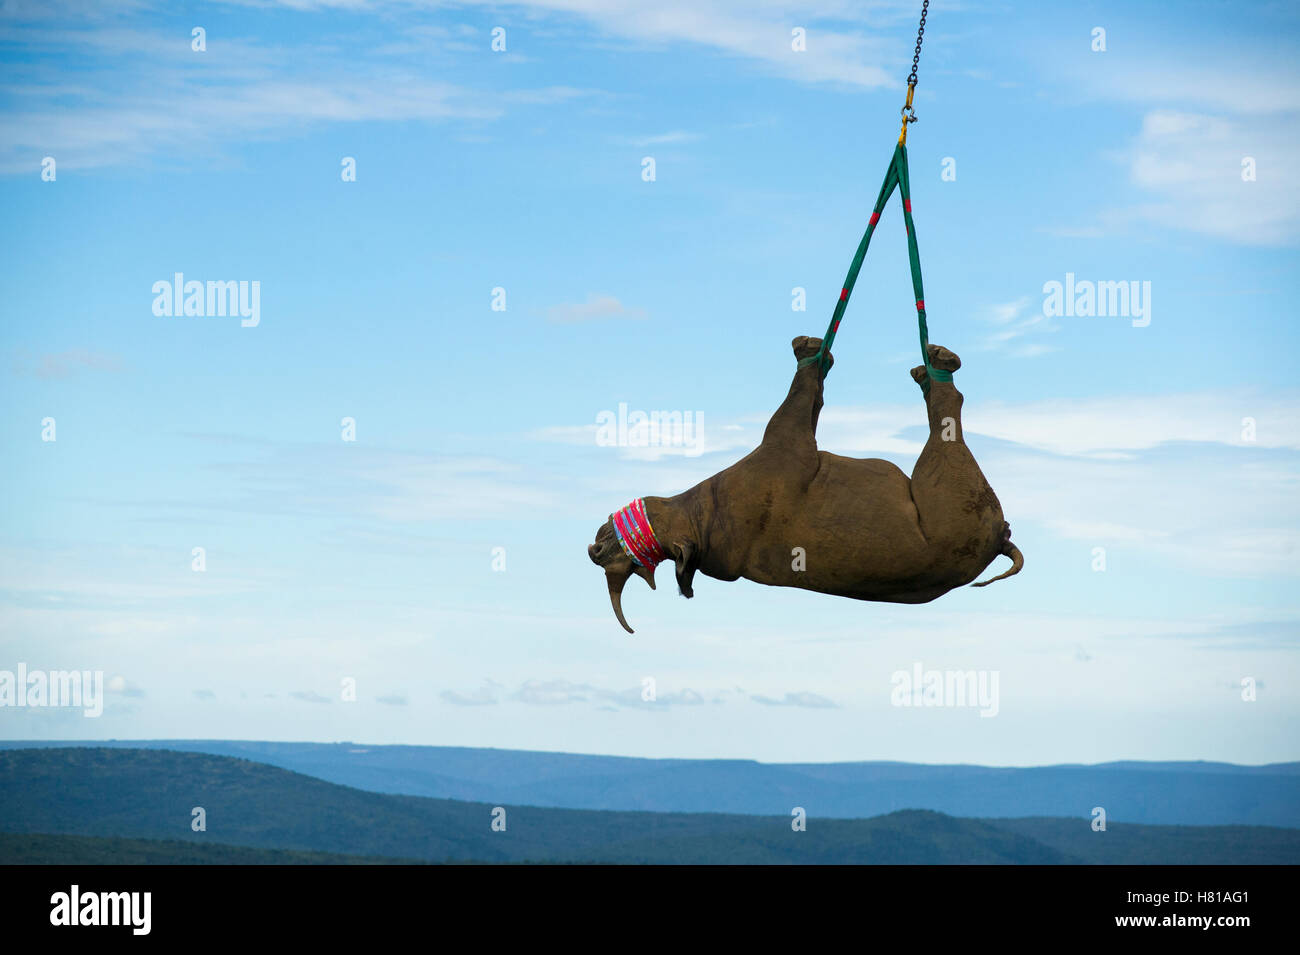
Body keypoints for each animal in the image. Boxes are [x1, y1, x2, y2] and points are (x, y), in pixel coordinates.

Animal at [588, 336, 1023, 632]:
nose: (595, 549)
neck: (701, 519)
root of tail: (999, 540)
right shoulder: (787, 442)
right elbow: (804, 395)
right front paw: (812, 354)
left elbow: (810, 398)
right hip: (955, 482)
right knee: (948, 415)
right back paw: (938, 368)